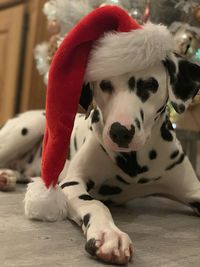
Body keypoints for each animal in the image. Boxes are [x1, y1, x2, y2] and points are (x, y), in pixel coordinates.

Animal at [1, 5, 200, 266]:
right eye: (105, 84)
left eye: (149, 85)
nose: (120, 132)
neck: (136, 162)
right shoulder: (72, 183)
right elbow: (96, 205)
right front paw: (109, 235)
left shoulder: (193, 189)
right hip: (29, 127)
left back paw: (9, 176)